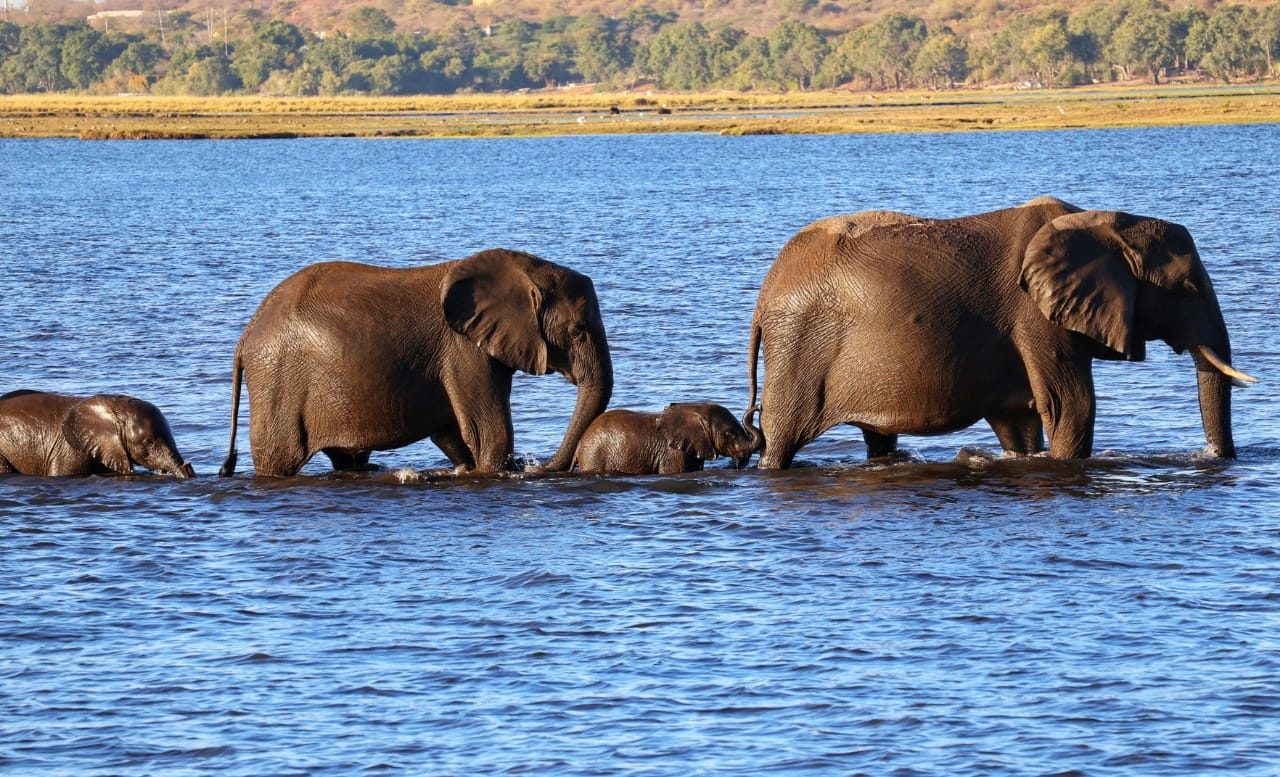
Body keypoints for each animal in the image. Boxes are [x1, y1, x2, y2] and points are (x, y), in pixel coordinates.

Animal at [218, 248, 613, 477]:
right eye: (578, 331)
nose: (537, 467)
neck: (523, 269)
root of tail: (247, 334)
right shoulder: (464, 350)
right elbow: (490, 435)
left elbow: (451, 433)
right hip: (276, 382)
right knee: (279, 460)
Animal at [573, 403, 763, 475]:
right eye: (729, 434)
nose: (759, 406)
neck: (695, 408)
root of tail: (579, 444)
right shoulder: (673, 453)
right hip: (593, 456)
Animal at [746, 196, 1257, 469]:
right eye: (1185, 288)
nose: (1216, 459)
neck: (1106, 222)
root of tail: (764, 295)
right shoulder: (1036, 317)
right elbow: (1071, 407)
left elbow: (1020, 423)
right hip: (799, 343)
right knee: (779, 437)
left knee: (878, 440)